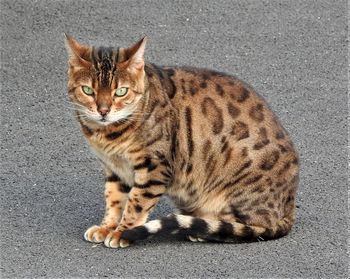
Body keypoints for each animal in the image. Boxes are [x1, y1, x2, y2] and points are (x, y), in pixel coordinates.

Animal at [65, 34, 298, 248]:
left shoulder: (154, 167)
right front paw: (107, 226)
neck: (107, 135)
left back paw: (203, 229)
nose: (103, 111)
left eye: (121, 91)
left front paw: (122, 232)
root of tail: (289, 209)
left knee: (252, 225)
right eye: (88, 90)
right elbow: (114, 199)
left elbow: (136, 203)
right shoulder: (114, 168)